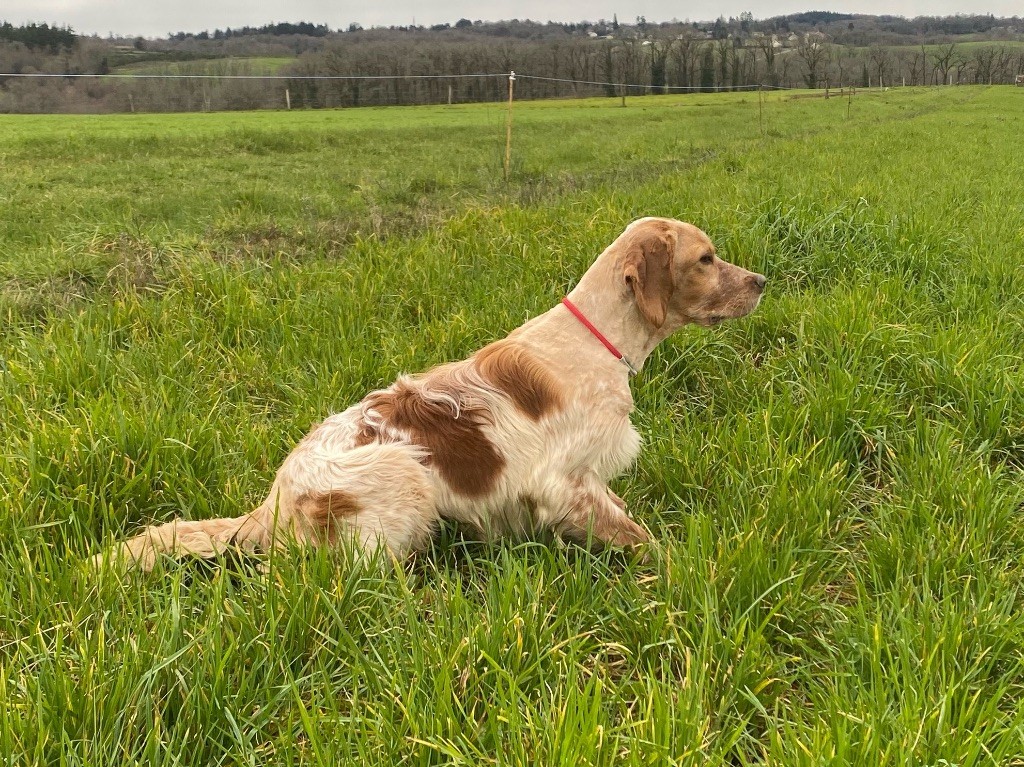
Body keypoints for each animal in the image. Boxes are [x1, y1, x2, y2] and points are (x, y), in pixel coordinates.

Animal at [96, 215, 765, 569]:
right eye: (707, 259)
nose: (761, 280)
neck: (597, 341)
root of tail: (274, 502)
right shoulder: (567, 482)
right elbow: (641, 538)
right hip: (403, 472)